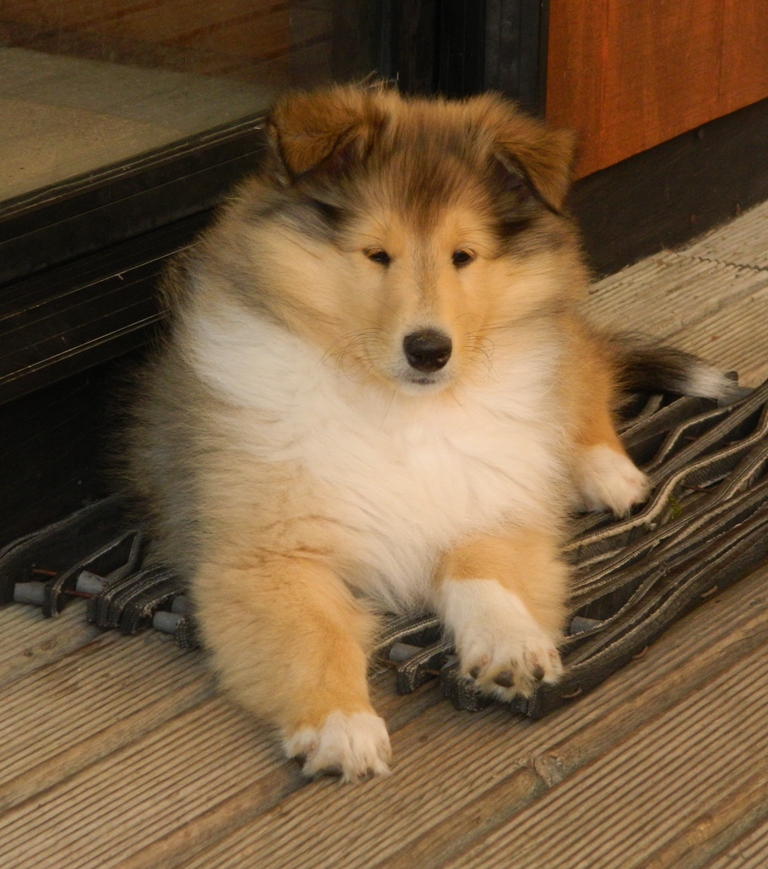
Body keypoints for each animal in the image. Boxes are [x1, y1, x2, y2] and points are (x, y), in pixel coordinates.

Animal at [124, 85, 732, 784]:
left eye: (462, 256)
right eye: (376, 254)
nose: (429, 351)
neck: (400, 409)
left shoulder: (487, 497)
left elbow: (484, 573)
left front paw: (510, 645)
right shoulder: (264, 556)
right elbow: (315, 636)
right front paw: (342, 726)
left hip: (554, 346)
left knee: (585, 364)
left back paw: (606, 471)